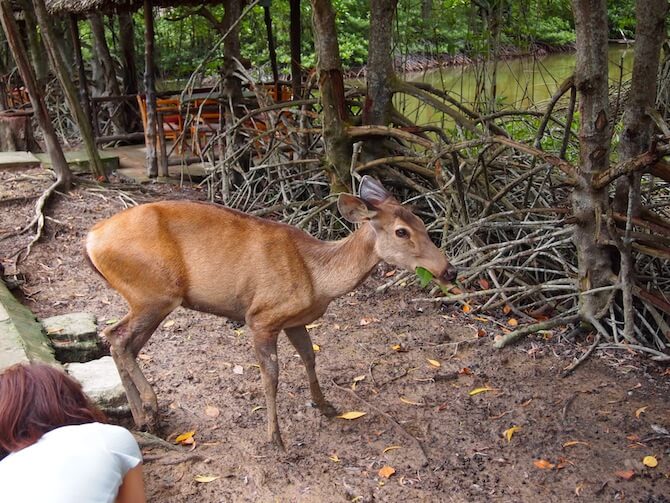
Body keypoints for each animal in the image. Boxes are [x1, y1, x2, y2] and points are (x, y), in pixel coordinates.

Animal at [86, 176, 460, 448]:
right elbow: (271, 376)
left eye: (422, 222)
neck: (317, 278)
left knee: (118, 339)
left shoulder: (294, 321)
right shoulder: (261, 316)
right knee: (118, 337)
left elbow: (310, 357)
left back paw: (143, 417)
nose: (450, 271)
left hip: (149, 298)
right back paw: (150, 407)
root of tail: (91, 239)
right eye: (401, 231)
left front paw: (326, 406)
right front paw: (275, 437)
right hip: (155, 293)